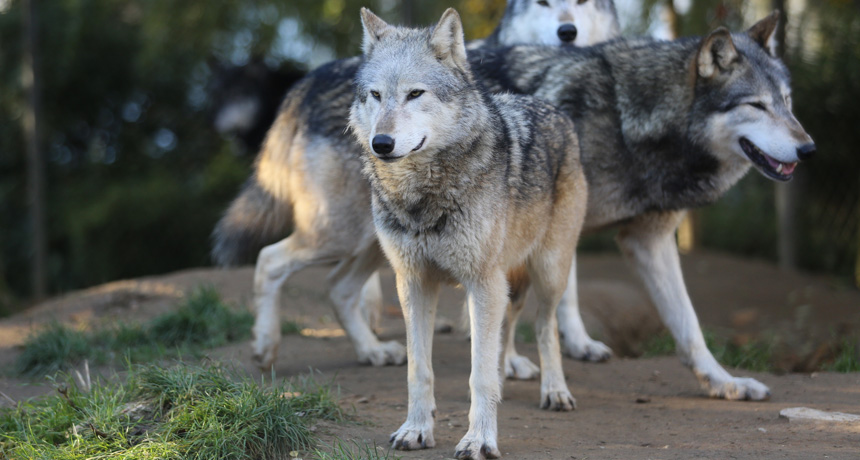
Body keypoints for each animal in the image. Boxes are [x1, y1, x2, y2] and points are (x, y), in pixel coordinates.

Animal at [212, 1, 621, 369]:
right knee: (270, 260)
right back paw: (266, 348)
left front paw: (572, 346)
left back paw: (372, 352)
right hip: (340, 235)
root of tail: (305, 83)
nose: (380, 144)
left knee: (338, 287)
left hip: (370, 244)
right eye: (376, 95)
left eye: (415, 94)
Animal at [350, 8, 587, 458]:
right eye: (375, 95)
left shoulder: (481, 281)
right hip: (504, 282)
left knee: (546, 328)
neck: (422, 196)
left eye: (415, 94)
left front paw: (479, 440)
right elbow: (419, 370)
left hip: (547, 272)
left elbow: (479, 375)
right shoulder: (414, 283)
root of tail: (553, 110)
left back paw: (556, 391)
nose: (381, 143)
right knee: (505, 331)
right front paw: (416, 430)